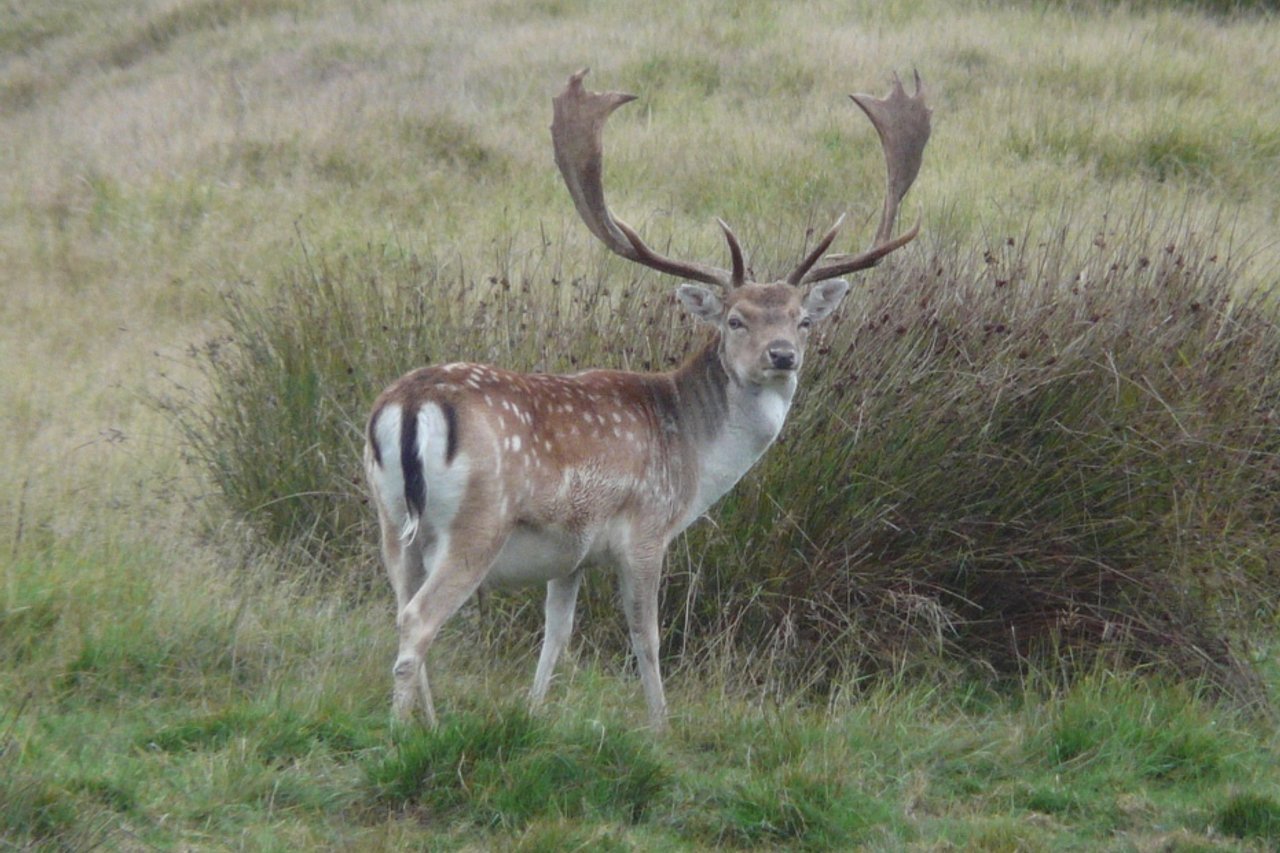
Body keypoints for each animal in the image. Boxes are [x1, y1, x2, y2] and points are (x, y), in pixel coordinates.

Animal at [364, 68, 930, 729]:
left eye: (803, 320)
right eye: (735, 320)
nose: (782, 355)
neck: (692, 458)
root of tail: (408, 405)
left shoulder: (572, 553)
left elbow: (557, 633)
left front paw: (534, 710)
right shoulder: (646, 529)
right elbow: (647, 636)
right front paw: (660, 725)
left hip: (391, 521)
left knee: (401, 610)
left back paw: (427, 719)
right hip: (479, 522)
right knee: (417, 620)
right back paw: (403, 732)